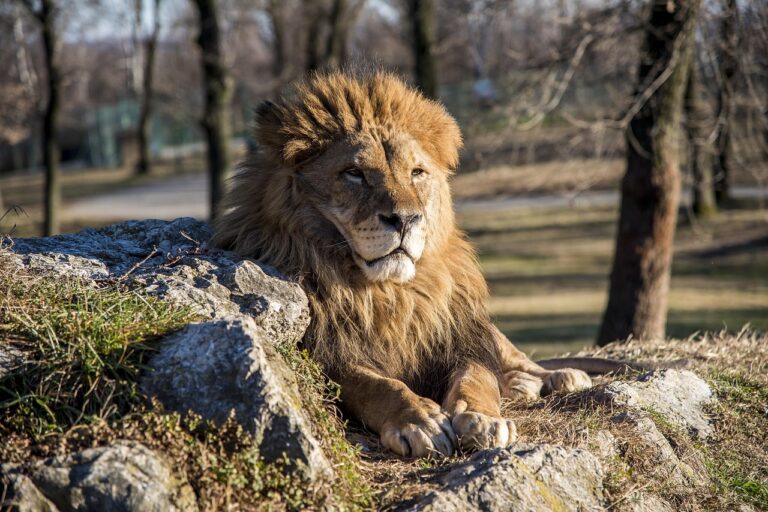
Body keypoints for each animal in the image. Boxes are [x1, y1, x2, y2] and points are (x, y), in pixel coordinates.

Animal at [213, 71, 592, 457]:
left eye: (417, 172)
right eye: (354, 173)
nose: (406, 219)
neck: (389, 293)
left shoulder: (458, 337)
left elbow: (478, 377)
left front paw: (483, 418)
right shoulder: (327, 353)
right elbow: (376, 385)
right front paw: (420, 421)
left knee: (514, 355)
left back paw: (556, 377)